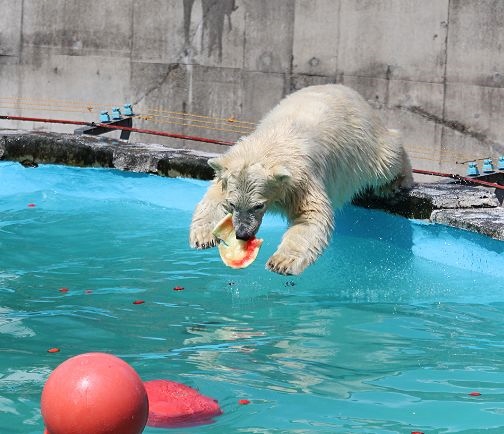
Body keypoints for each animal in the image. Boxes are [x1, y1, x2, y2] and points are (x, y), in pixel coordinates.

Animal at [189, 84, 414, 274]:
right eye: (232, 204)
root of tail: (349, 90)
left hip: (363, 143)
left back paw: (397, 182)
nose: (242, 234)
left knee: (386, 157)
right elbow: (214, 197)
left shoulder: (301, 181)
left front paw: (281, 262)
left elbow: (311, 216)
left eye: (258, 206)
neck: (269, 146)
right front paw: (202, 237)